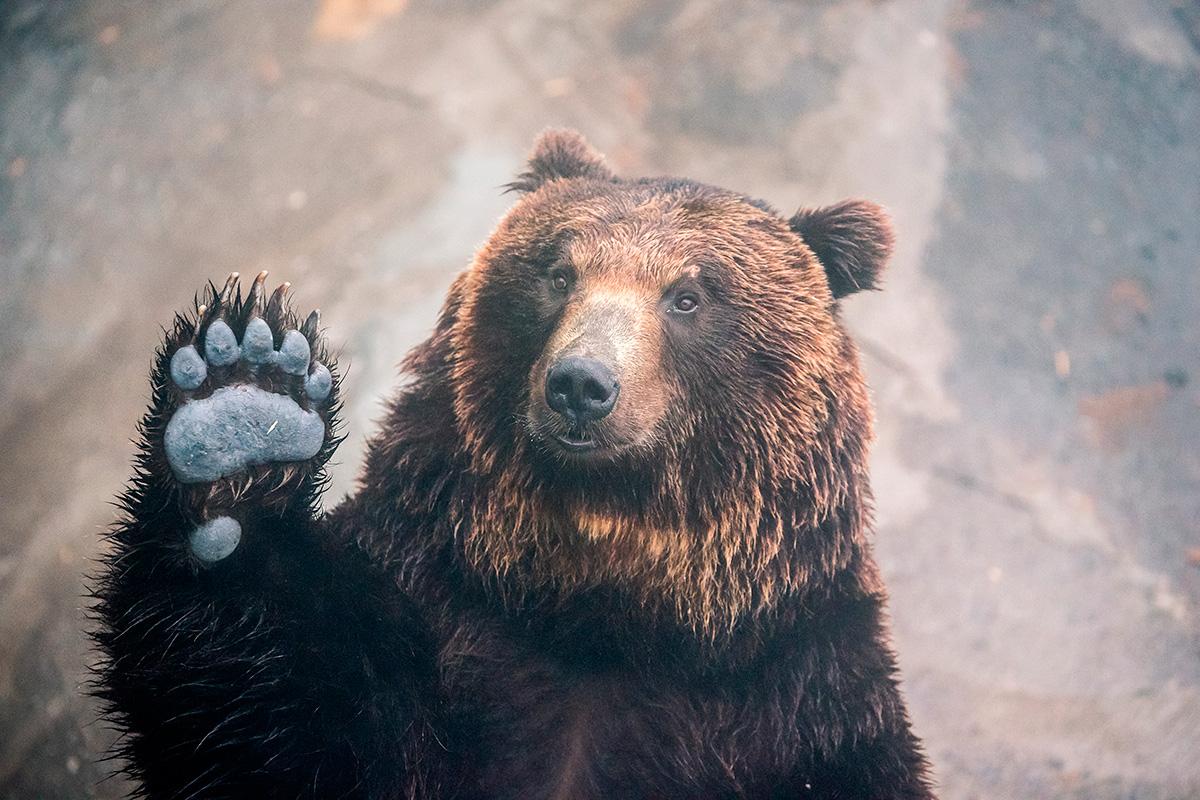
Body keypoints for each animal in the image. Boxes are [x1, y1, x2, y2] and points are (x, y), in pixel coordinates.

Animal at [96, 128, 936, 796]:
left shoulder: (799, 697)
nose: (581, 384)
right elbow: (268, 714)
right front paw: (240, 414)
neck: (601, 608)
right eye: (559, 273)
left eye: (688, 296)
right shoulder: (428, 603)